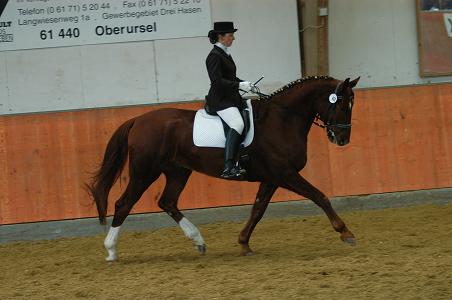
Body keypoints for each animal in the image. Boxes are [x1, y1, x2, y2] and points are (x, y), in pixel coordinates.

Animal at [85, 76, 360, 262]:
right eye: (342, 105)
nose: (342, 139)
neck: (282, 119)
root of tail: (138, 120)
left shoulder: (272, 178)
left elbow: (258, 209)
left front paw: (244, 244)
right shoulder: (286, 174)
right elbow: (320, 197)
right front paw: (346, 233)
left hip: (177, 171)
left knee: (168, 202)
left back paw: (198, 241)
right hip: (144, 172)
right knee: (124, 203)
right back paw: (111, 251)